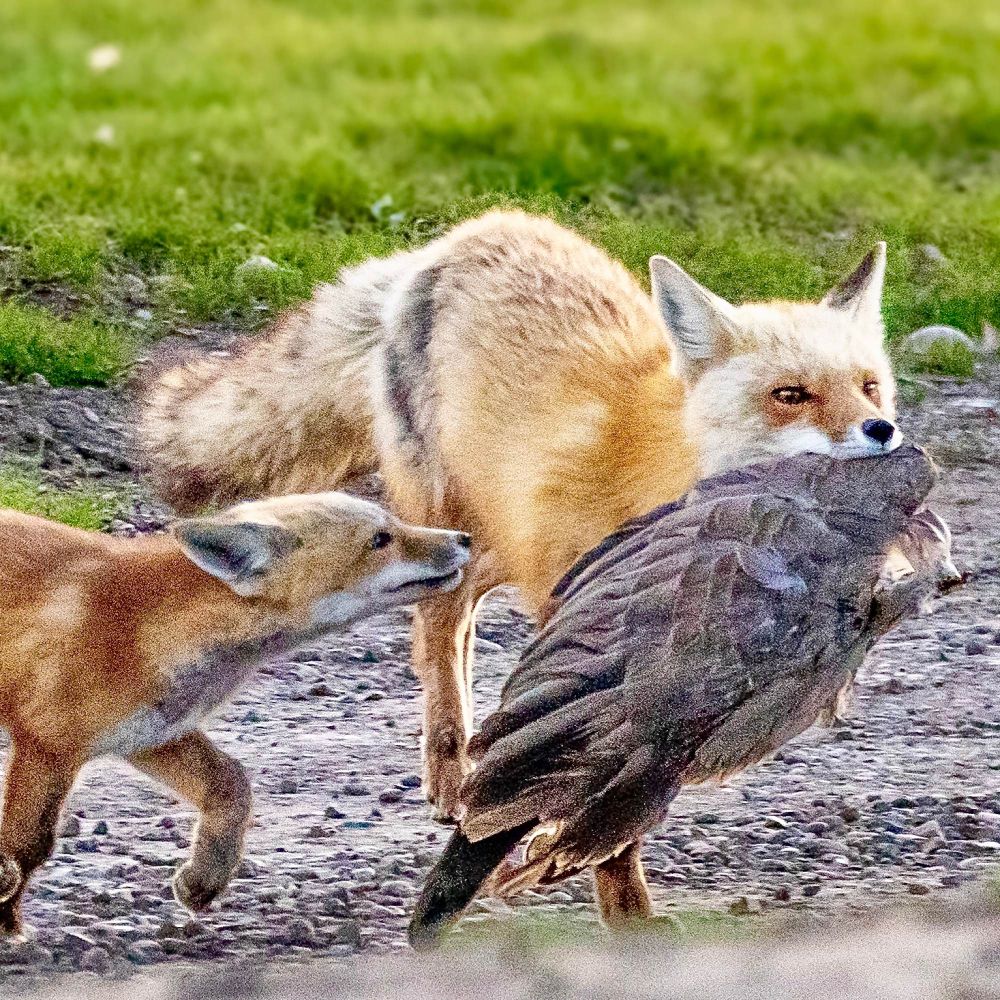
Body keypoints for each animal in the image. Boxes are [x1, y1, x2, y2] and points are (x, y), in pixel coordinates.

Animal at [0, 493, 470, 936]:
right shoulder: (48, 743)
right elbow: (29, 846)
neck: (139, 626)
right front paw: (7, 919)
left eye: (394, 523)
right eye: (380, 539)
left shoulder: (152, 734)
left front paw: (205, 879)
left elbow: (232, 786)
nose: (464, 538)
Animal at [141, 210, 900, 830]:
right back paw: (452, 777)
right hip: (447, 523)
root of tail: (456, 239)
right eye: (790, 395)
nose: (882, 430)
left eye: (868, 386)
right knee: (440, 646)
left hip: (495, 537)